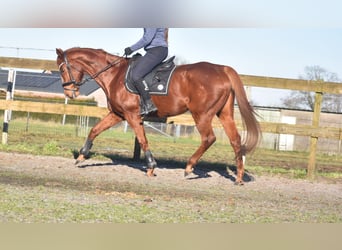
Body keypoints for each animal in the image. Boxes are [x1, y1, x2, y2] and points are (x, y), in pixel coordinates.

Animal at [56, 47, 260, 185]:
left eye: (62, 69)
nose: (69, 93)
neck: (114, 74)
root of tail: (222, 69)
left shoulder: (131, 115)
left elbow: (142, 139)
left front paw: (151, 166)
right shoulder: (117, 114)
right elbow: (94, 130)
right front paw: (81, 156)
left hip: (202, 114)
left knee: (209, 138)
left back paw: (189, 167)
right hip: (224, 114)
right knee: (235, 140)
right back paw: (238, 178)